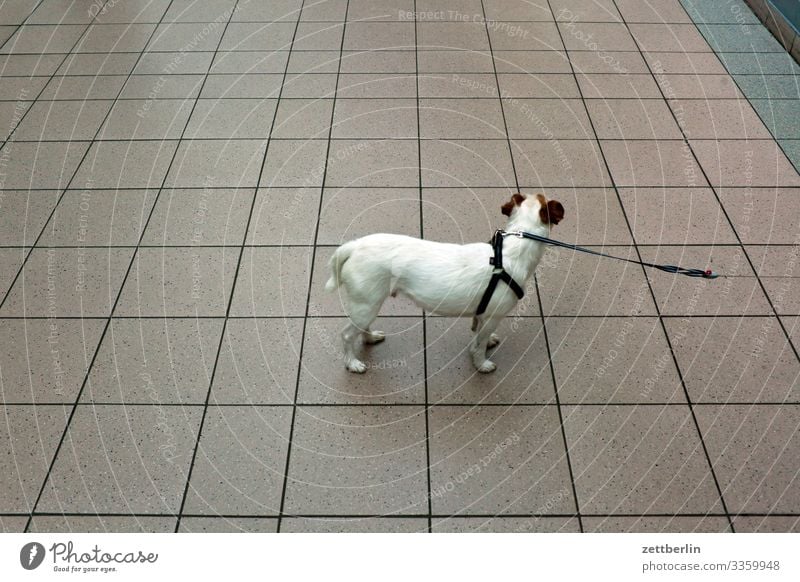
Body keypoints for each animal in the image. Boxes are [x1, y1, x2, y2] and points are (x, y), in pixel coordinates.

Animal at [324, 192, 564, 374]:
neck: (510, 251)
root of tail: (354, 246)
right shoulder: (493, 316)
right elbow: (478, 345)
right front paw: (481, 364)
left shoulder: (483, 313)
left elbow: (479, 334)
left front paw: (486, 343)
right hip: (366, 305)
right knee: (347, 335)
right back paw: (352, 363)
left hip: (368, 305)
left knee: (361, 328)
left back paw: (370, 337)